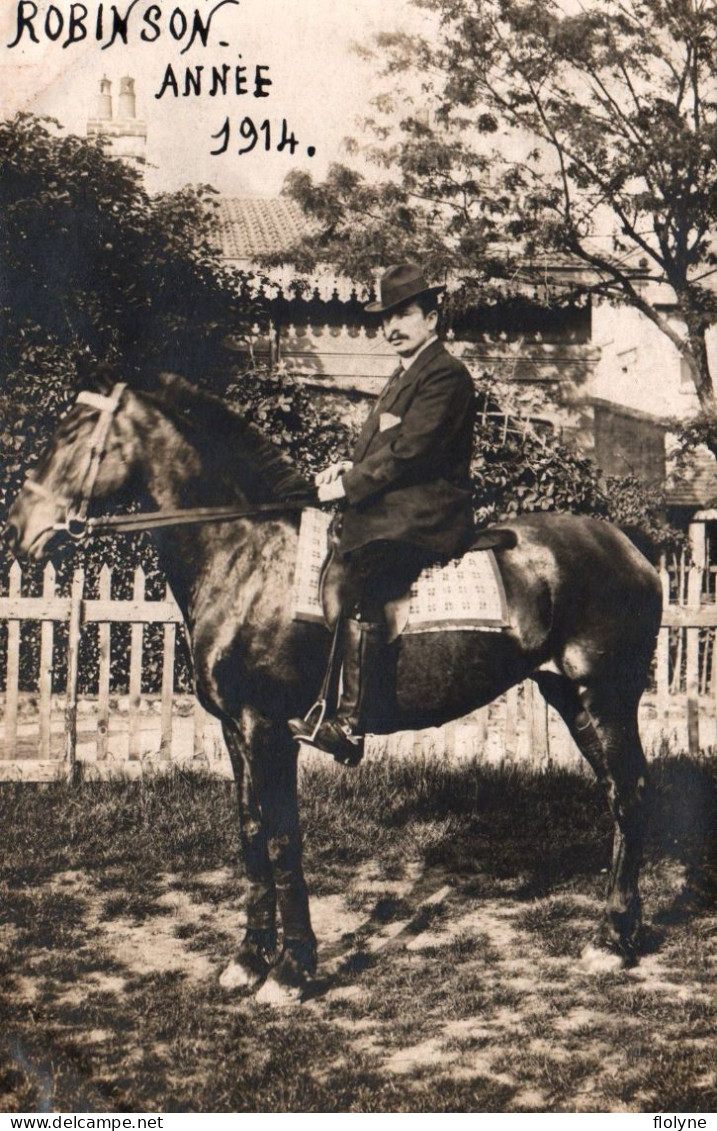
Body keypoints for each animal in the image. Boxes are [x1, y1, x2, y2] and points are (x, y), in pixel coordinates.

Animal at [5, 375, 660, 1004]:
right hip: (570, 698)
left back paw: (610, 941)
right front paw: (247, 960)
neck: (248, 556)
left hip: (605, 697)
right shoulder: (234, 730)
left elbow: (282, 840)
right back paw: (619, 930)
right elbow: (251, 833)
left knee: (631, 794)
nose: (18, 529)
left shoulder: (268, 729)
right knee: (618, 795)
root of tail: (629, 548)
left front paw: (291, 971)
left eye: (72, 433)